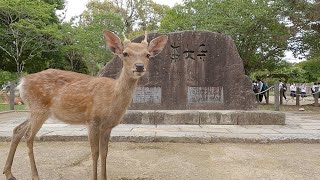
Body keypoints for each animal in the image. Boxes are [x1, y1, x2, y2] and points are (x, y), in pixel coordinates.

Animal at [3, 31, 168, 180]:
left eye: (148, 55)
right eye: (125, 53)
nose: (139, 66)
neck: (112, 99)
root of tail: (22, 82)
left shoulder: (107, 126)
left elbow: (105, 152)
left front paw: (104, 177)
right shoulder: (92, 120)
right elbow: (94, 153)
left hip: (35, 110)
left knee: (17, 130)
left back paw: (9, 173)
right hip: (39, 108)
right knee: (28, 136)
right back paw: (35, 175)